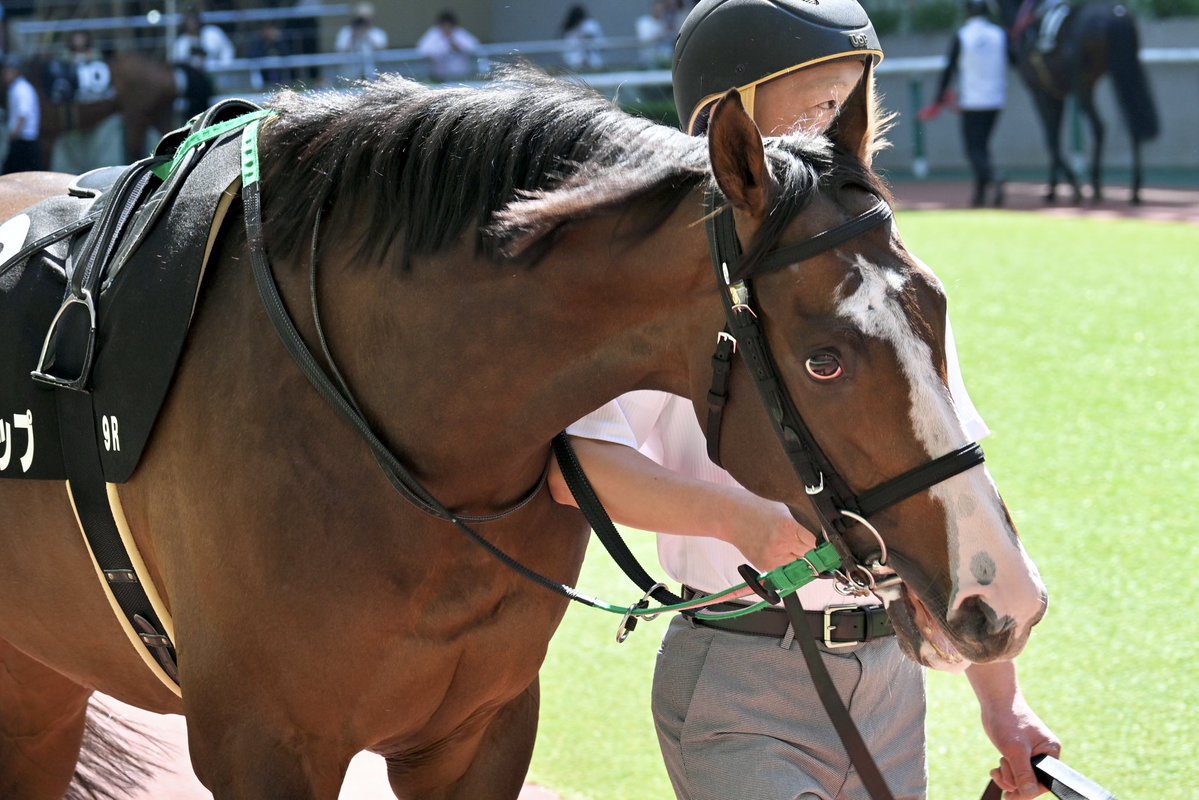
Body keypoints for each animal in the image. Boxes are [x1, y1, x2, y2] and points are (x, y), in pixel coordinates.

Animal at [0, 68, 1047, 798]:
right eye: (824, 358)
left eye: (935, 309)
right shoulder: (261, 748)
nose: (1002, 596)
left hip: (39, 682)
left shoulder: (481, 729)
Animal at [997, 0, 1160, 203]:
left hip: (1084, 87)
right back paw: (1134, 189)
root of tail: (1117, 15)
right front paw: (1053, 188)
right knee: (1133, 123)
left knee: (1099, 126)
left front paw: (1071, 186)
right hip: (1123, 73)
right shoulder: (1057, 96)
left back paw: (1096, 186)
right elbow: (1055, 136)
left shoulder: (1040, 93)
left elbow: (1051, 139)